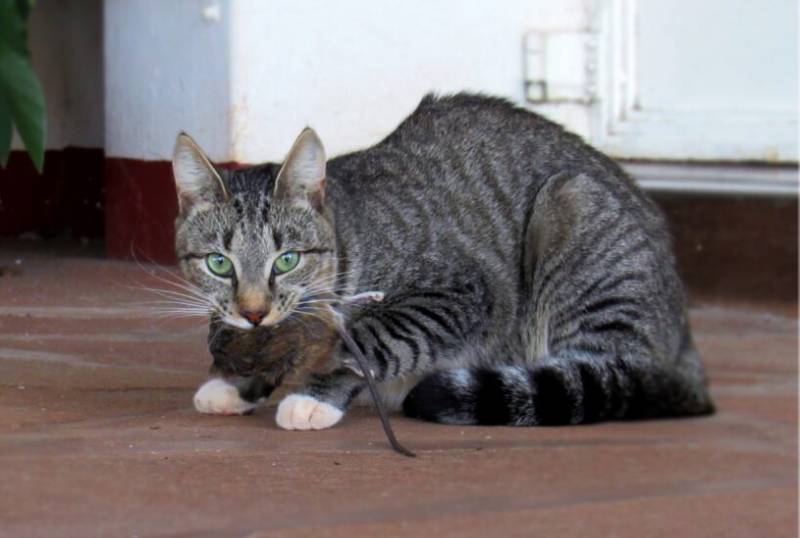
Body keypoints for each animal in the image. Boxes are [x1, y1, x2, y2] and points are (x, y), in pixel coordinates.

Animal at [170, 91, 712, 428]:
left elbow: (373, 338)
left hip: (573, 210)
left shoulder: (459, 292)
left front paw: (312, 396)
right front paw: (237, 384)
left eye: (286, 260)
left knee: (610, 372)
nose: (253, 311)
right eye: (219, 263)